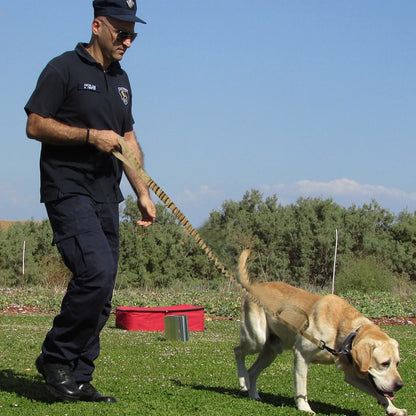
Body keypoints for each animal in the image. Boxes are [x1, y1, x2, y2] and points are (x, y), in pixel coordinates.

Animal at [234, 249, 406, 414]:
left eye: (397, 363)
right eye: (384, 363)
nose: (400, 385)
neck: (342, 329)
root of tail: (252, 287)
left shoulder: (352, 374)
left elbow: (380, 394)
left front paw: (393, 409)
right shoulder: (301, 354)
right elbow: (301, 387)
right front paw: (304, 408)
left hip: (271, 350)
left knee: (252, 371)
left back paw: (253, 394)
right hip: (257, 339)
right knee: (238, 350)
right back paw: (242, 381)